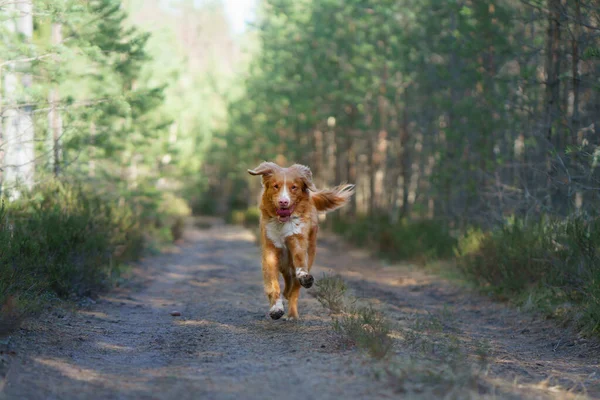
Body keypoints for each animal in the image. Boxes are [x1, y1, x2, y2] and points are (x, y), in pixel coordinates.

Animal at [247, 161, 354, 320]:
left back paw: (292, 313)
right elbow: (273, 283)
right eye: (276, 186)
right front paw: (276, 308)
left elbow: (300, 263)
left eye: (294, 187)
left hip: (309, 252)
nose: (283, 202)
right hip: (283, 262)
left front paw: (303, 276)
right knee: (288, 281)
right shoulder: (270, 251)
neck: (282, 224)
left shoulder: (297, 241)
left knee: (295, 288)